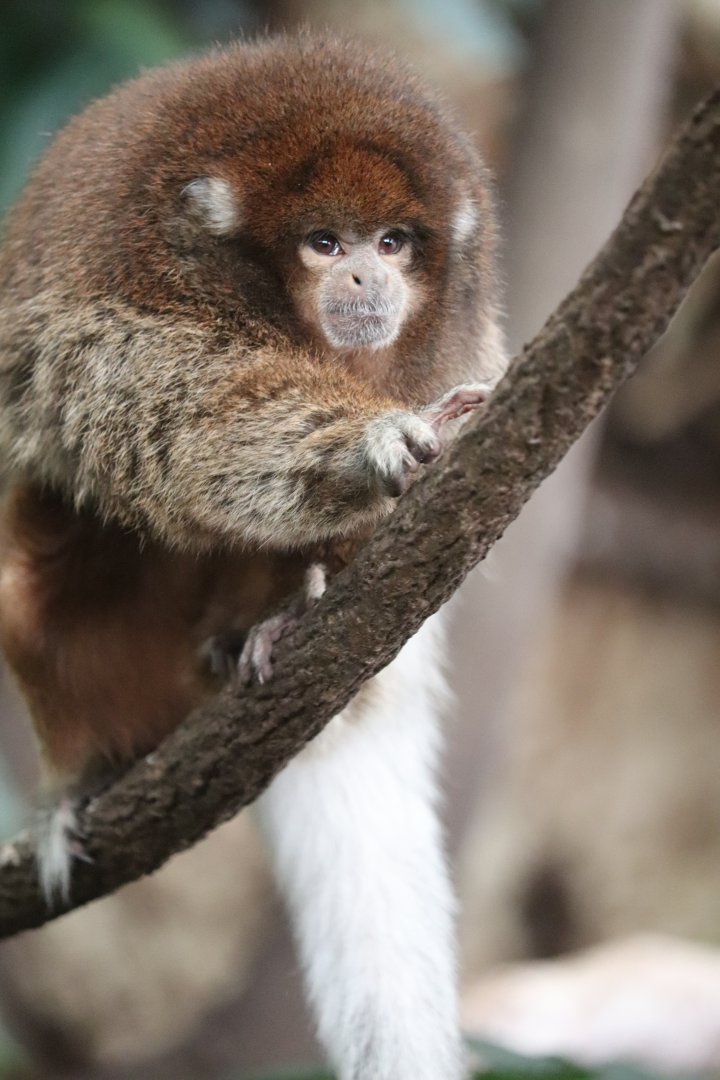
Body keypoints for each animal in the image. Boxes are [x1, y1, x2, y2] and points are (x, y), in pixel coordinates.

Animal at [0, 34, 507, 1080]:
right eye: (325, 244)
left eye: (392, 243)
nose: (365, 283)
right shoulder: (133, 275)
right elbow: (160, 417)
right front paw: (362, 447)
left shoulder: (462, 332)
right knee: (29, 577)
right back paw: (85, 775)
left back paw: (261, 625)